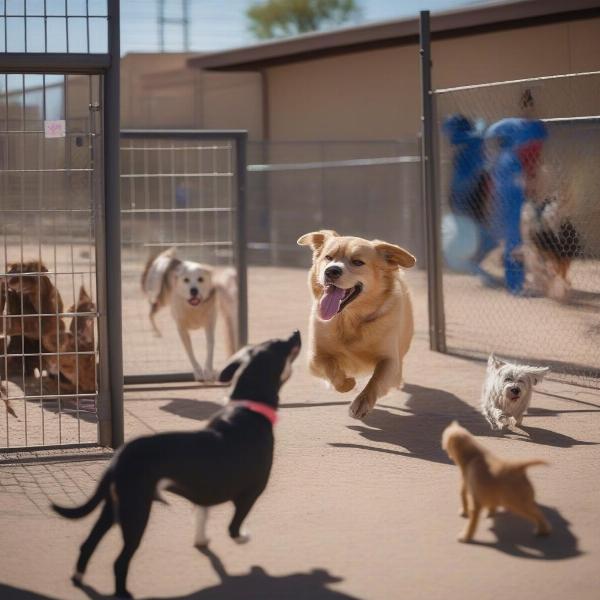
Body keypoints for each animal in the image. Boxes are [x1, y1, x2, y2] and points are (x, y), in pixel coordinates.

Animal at [52, 330, 300, 596]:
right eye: (281, 344)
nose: (296, 332)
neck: (248, 409)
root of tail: (119, 457)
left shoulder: (205, 495)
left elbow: (202, 516)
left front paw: (202, 541)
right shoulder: (251, 493)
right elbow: (233, 527)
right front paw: (243, 539)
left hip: (115, 508)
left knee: (88, 543)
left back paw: (78, 577)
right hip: (136, 512)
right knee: (119, 561)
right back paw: (123, 593)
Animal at [142, 247, 237, 380]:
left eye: (200, 279)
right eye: (186, 280)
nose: (193, 291)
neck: (193, 308)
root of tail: (172, 261)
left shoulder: (210, 325)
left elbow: (210, 346)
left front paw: (208, 371)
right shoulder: (182, 329)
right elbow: (190, 351)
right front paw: (198, 371)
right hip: (160, 298)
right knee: (151, 313)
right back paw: (157, 331)